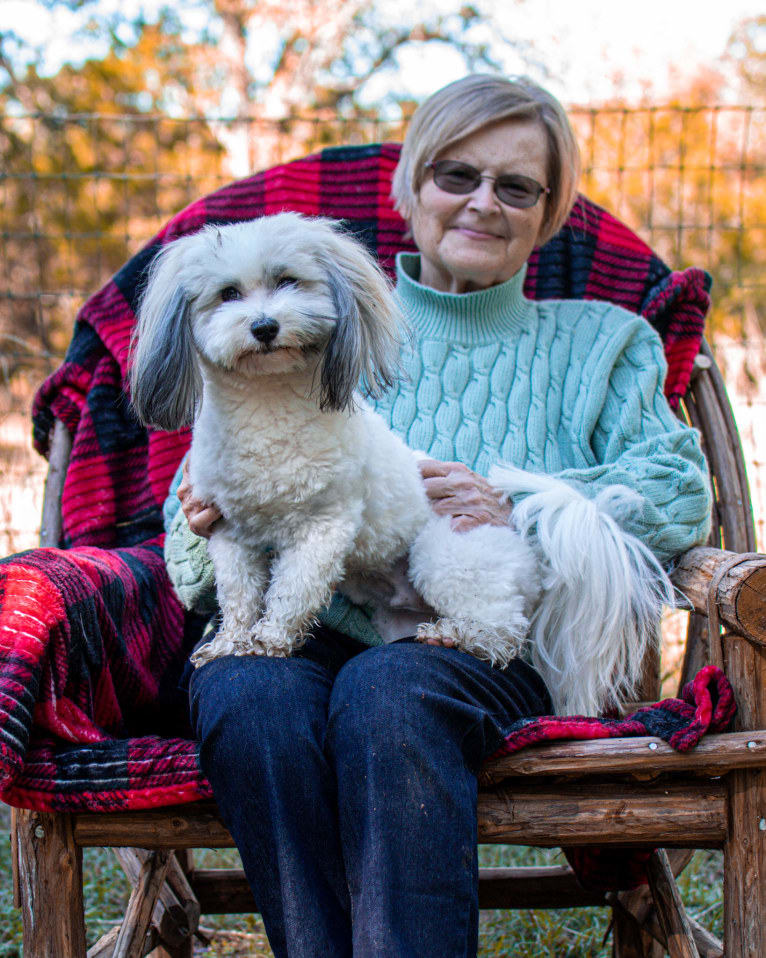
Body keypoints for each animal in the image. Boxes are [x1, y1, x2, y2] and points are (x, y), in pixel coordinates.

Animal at [129, 214, 544, 676]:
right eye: (228, 294)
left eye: (288, 281)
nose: (264, 326)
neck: (267, 406)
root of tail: (528, 556)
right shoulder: (230, 533)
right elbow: (238, 594)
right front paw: (230, 642)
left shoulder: (323, 526)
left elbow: (293, 588)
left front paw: (269, 640)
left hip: (446, 556)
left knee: (506, 628)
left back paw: (460, 635)